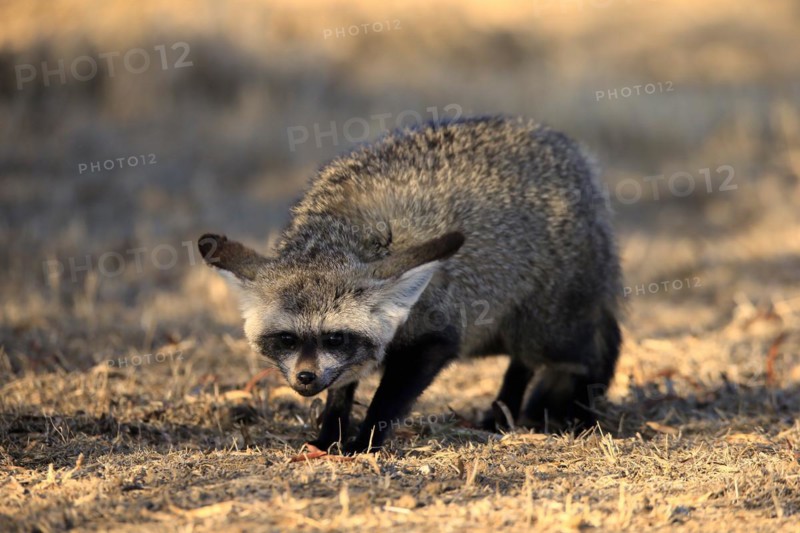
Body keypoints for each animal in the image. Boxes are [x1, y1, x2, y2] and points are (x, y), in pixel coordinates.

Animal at [199, 116, 622, 454]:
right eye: (287, 339)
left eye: (334, 338)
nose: (305, 378)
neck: (343, 232)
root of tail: (569, 150)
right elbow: (341, 389)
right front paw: (328, 438)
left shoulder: (435, 336)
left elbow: (387, 400)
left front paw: (365, 444)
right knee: (523, 364)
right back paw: (501, 416)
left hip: (550, 331)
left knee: (582, 350)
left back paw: (577, 414)